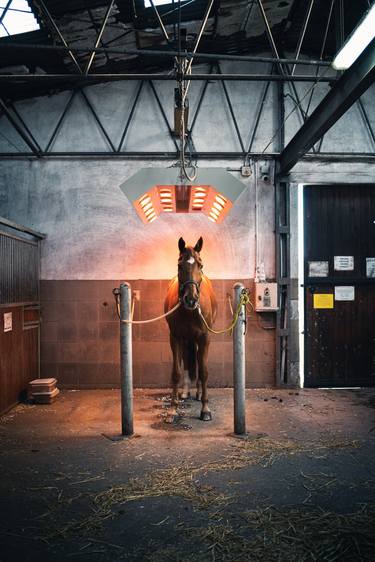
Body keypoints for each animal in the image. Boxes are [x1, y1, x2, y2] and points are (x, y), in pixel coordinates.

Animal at [164, 234, 217, 422]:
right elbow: (176, 372)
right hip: (187, 339)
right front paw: (172, 410)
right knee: (187, 360)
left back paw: (199, 394)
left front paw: (205, 409)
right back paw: (186, 392)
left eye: (200, 265)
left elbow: (204, 371)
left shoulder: (205, 338)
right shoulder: (175, 337)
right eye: (180, 265)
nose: (191, 299)